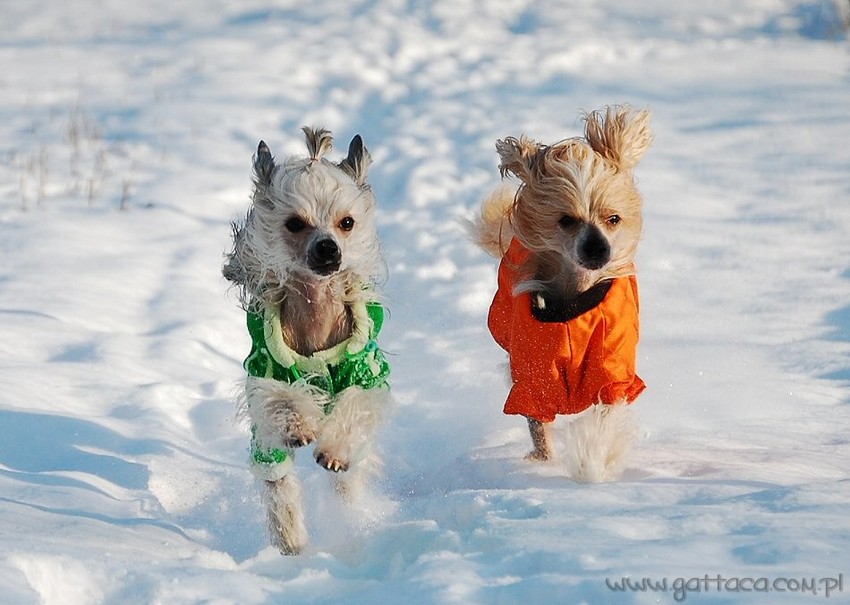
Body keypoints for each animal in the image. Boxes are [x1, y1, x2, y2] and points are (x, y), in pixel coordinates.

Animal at [220, 126, 390, 552]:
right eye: (295, 223)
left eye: (347, 222)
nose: (328, 248)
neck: (316, 311)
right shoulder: (267, 368)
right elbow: (281, 401)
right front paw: (298, 427)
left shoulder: (366, 369)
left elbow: (357, 407)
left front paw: (333, 451)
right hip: (266, 447)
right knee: (277, 481)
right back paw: (292, 543)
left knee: (347, 480)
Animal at [470, 104, 648, 482]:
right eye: (566, 220)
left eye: (613, 219)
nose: (598, 248)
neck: (574, 295)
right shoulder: (532, 375)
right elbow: (536, 419)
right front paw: (544, 462)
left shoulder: (611, 367)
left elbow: (605, 410)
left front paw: (593, 463)